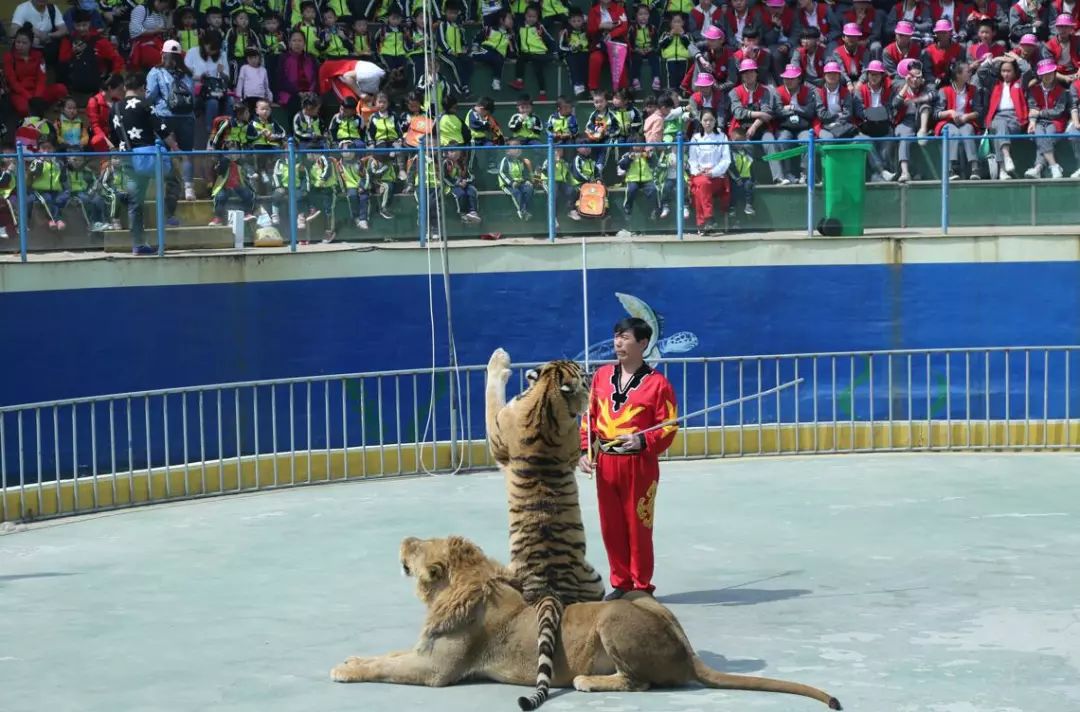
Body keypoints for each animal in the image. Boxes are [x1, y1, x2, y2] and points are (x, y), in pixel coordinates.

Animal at [328, 535, 842, 708]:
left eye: (416, 547)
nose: (403, 539)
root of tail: (687, 650)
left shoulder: (436, 671)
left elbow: (386, 667)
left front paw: (342, 670)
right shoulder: (423, 651)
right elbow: (385, 655)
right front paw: (351, 659)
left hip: (614, 615)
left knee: (639, 683)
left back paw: (589, 682)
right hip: (635, 597)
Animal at [488, 350, 609, 712]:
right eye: (581, 372)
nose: (592, 372)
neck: (546, 394)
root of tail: (550, 590)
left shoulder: (496, 435)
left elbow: (490, 393)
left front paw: (499, 360)